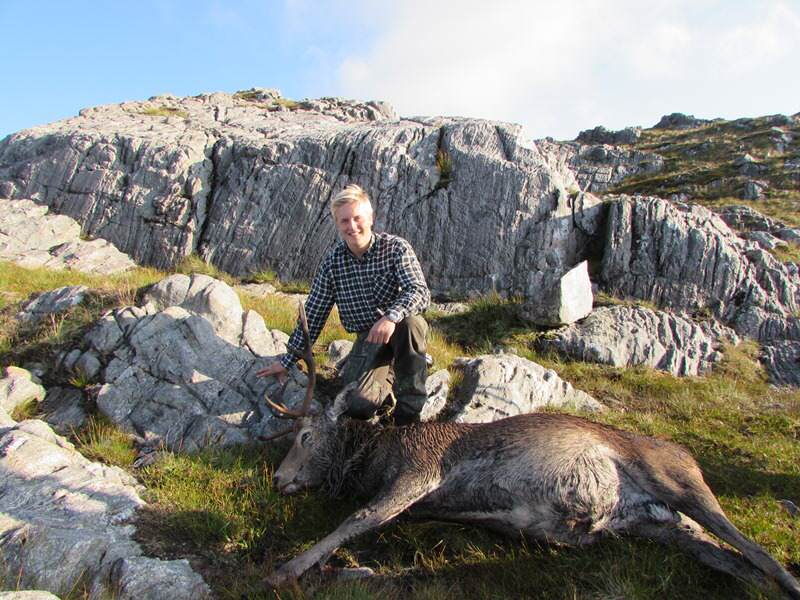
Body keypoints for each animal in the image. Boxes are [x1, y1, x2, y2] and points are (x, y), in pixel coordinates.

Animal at [264, 308, 800, 596]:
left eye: (306, 436)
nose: (278, 479)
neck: (375, 459)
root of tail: (687, 453)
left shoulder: (421, 469)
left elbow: (358, 518)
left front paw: (283, 570)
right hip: (661, 524)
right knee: (738, 564)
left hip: (677, 478)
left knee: (759, 552)